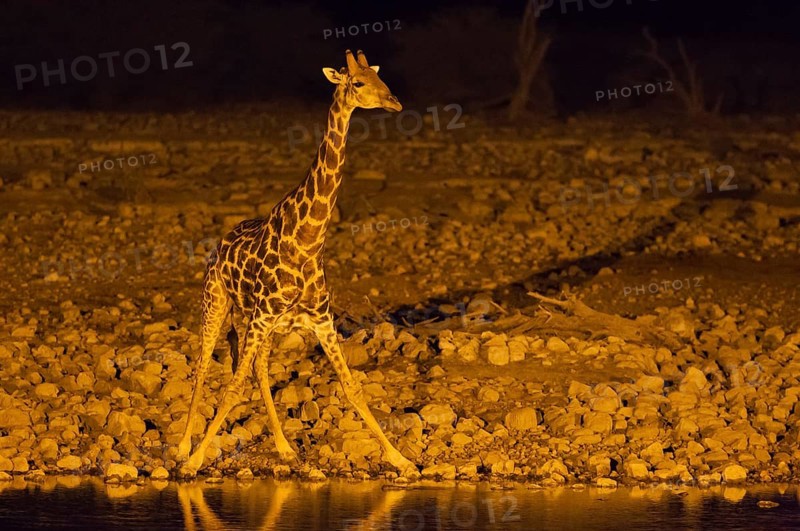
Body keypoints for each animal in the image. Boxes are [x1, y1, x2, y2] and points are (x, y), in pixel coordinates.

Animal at [175, 50, 417, 478]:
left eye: (378, 77)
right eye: (358, 82)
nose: (394, 102)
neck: (307, 242)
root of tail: (219, 245)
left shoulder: (320, 320)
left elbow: (352, 387)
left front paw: (401, 459)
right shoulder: (262, 318)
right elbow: (232, 388)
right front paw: (194, 461)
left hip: (258, 324)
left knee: (259, 370)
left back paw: (286, 449)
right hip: (217, 303)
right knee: (204, 365)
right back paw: (183, 445)